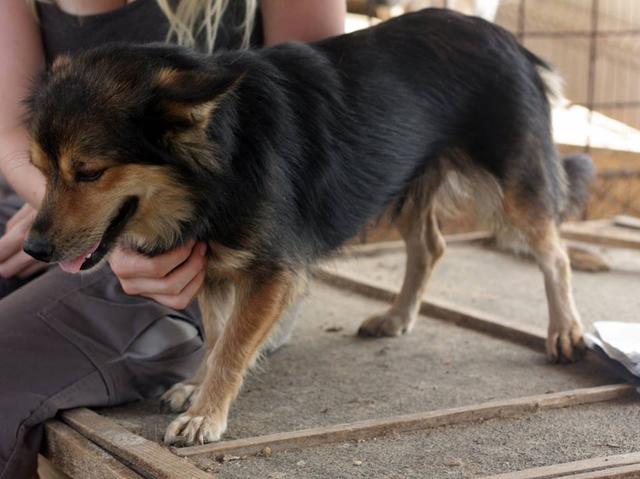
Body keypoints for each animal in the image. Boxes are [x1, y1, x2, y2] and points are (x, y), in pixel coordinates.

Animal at [25, 8, 596, 446]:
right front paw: (197, 387)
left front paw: (206, 414)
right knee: (430, 247)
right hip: (406, 173)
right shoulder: (212, 266)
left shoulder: (274, 273)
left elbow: (232, 347)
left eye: (89, 172)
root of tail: (513, 44)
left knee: (555, 253)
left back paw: (565, 329)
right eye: (40, 169)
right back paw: (397, 316)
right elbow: (215, 334)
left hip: (514, 185)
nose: (33, 249)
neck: (224, 154)